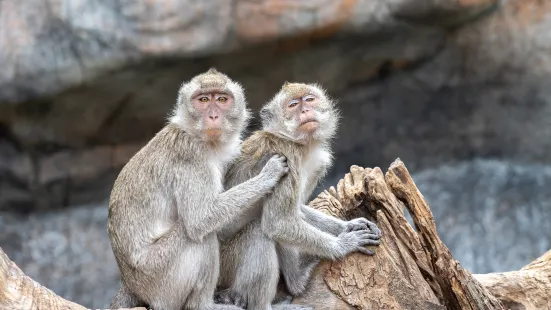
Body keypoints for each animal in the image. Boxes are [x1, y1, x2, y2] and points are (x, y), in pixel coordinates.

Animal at [105, 68, 292, 310]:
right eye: (203, 100)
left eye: (221, 99)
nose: (213, 116)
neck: (199, 137)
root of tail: (130, 283)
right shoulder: (191, 157)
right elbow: (201, 219)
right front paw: (268, 174)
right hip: (160, 279)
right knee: (197, 234)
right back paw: (203, 304)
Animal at [217, 82, 384, 310]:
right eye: (293, 105)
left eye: (310, 99)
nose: (305, 111)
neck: (299, 145)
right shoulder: (286, 155)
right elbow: (280, 222)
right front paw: (343, 244)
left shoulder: (318, 162)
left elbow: (295, 212)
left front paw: (349, 225)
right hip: (224, 265)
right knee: (260, 231)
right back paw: (293, 284)